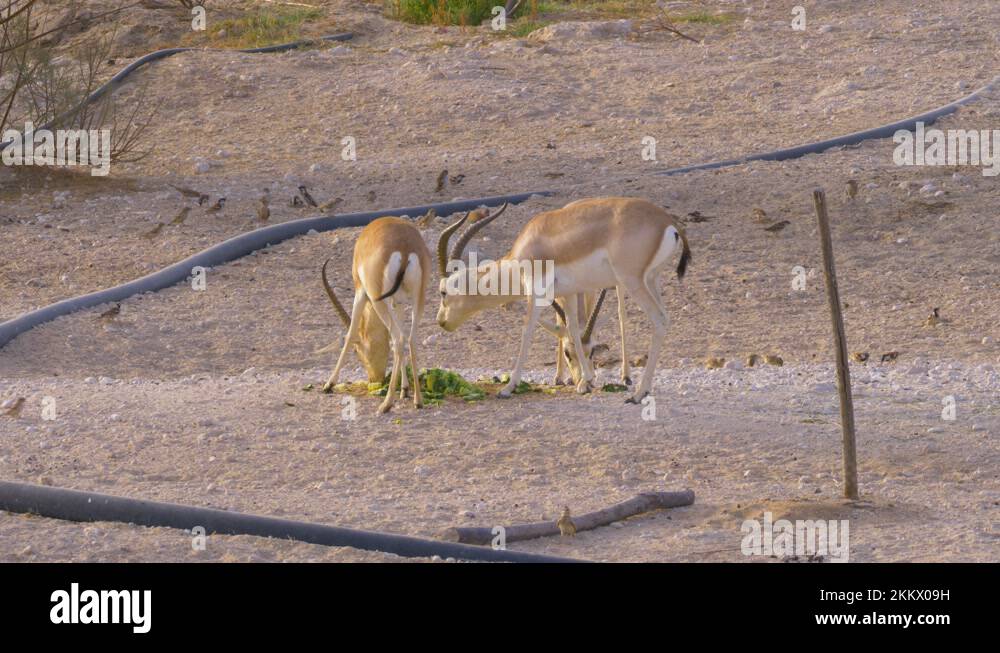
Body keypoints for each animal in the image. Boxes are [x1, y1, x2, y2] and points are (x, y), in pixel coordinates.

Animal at [319, 217, 431, 413]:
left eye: (358, 352)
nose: (374, 379)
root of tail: (404, 246)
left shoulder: (360, 292)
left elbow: (351, 334)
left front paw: (329, 384)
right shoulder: (398, 301)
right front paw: (405, 389)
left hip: (377, 298)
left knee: (398, 338)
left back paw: (386, 404)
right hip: (419, 297)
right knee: (409, 339)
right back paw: (418, 400)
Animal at [437, 197, 691, 404]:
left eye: (443, 292)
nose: (441, 321)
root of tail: (667, 221)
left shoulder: (536, 294)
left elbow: (526, 332)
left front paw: (508, 388)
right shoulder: (568, 294)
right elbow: (573, 331)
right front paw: (585, 381)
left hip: (631, 281)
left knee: (658, 319)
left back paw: (638, 394)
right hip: (651, 280)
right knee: (663, 317)